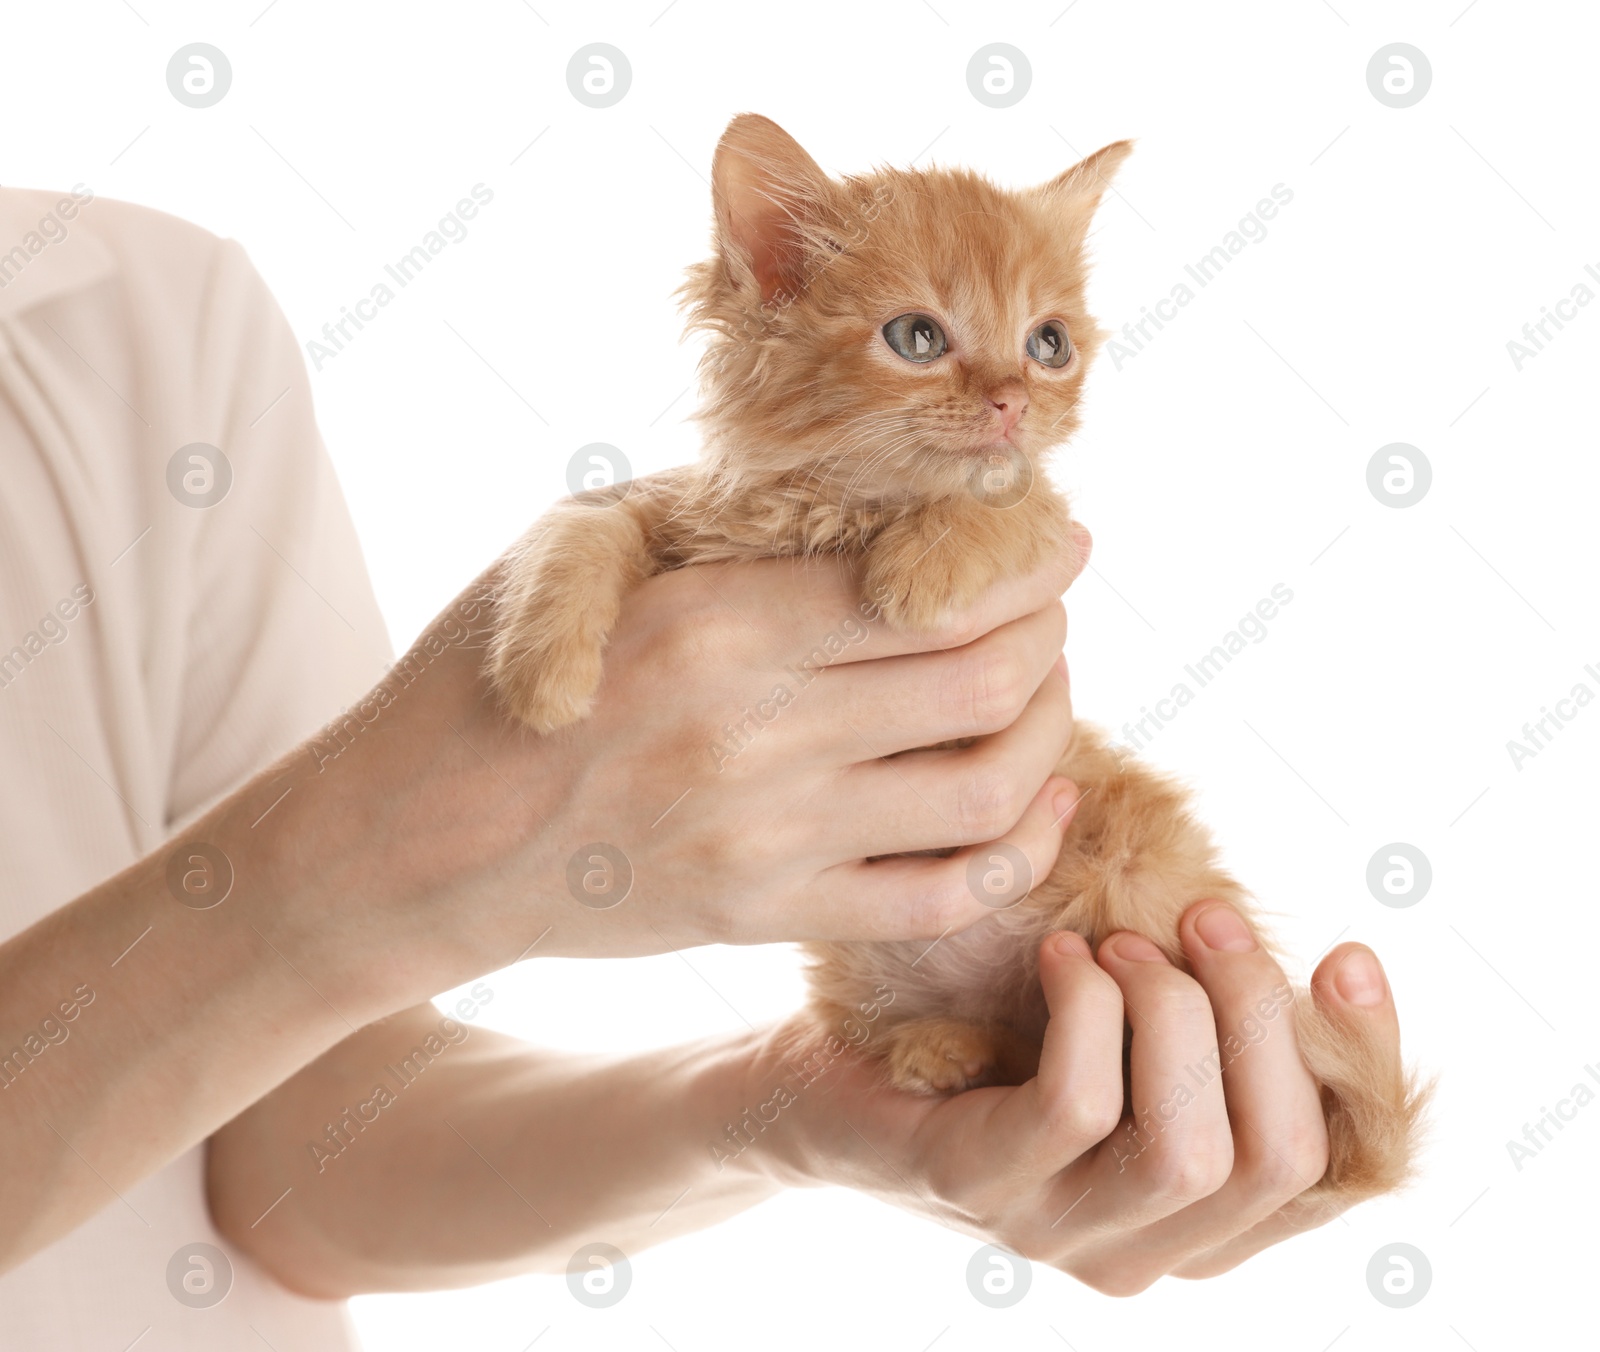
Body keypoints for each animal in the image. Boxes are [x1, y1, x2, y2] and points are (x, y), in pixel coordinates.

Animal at [486, 110, 1427, 1196]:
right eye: (917, 338)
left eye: (1048, 344)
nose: (1014, 399)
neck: (842, 506)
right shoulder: (686, 522)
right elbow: (582, 525)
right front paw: (543, 668)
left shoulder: (1040, 519)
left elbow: (1004, 503)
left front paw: (920, 569)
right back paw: (943, 1045)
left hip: (1132, 887)